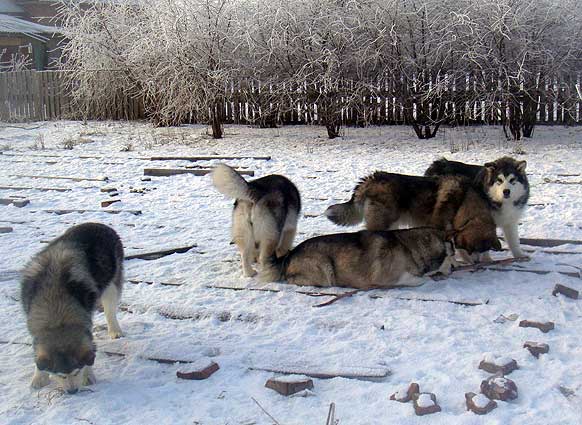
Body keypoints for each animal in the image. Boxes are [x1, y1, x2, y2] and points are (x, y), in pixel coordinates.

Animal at [20, 224, 124, 392]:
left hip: (111, 284)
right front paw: (39, 377)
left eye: (77, 371)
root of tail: (99, 224)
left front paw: (88, 375)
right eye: (60, 374)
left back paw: (115, 330)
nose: (72, 391)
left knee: (110, 310)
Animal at [260, 225, 456, 288]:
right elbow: (422, 280)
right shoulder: (388, 279)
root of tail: (290, 253)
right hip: (324, 269)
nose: (454, 268)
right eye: (453, 254)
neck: (410, 248)